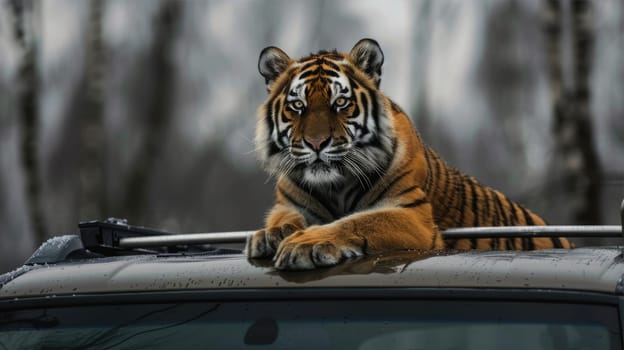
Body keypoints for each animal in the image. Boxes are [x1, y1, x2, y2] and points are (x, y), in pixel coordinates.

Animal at [246, 38, 572, 270]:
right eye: (297, 106)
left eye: (340, 103)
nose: (316, 143)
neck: (334, 186)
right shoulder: (289, 203)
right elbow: (282, 218)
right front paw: (270, 236)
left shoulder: (411, 213)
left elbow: (358, 221)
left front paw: (304, 244)